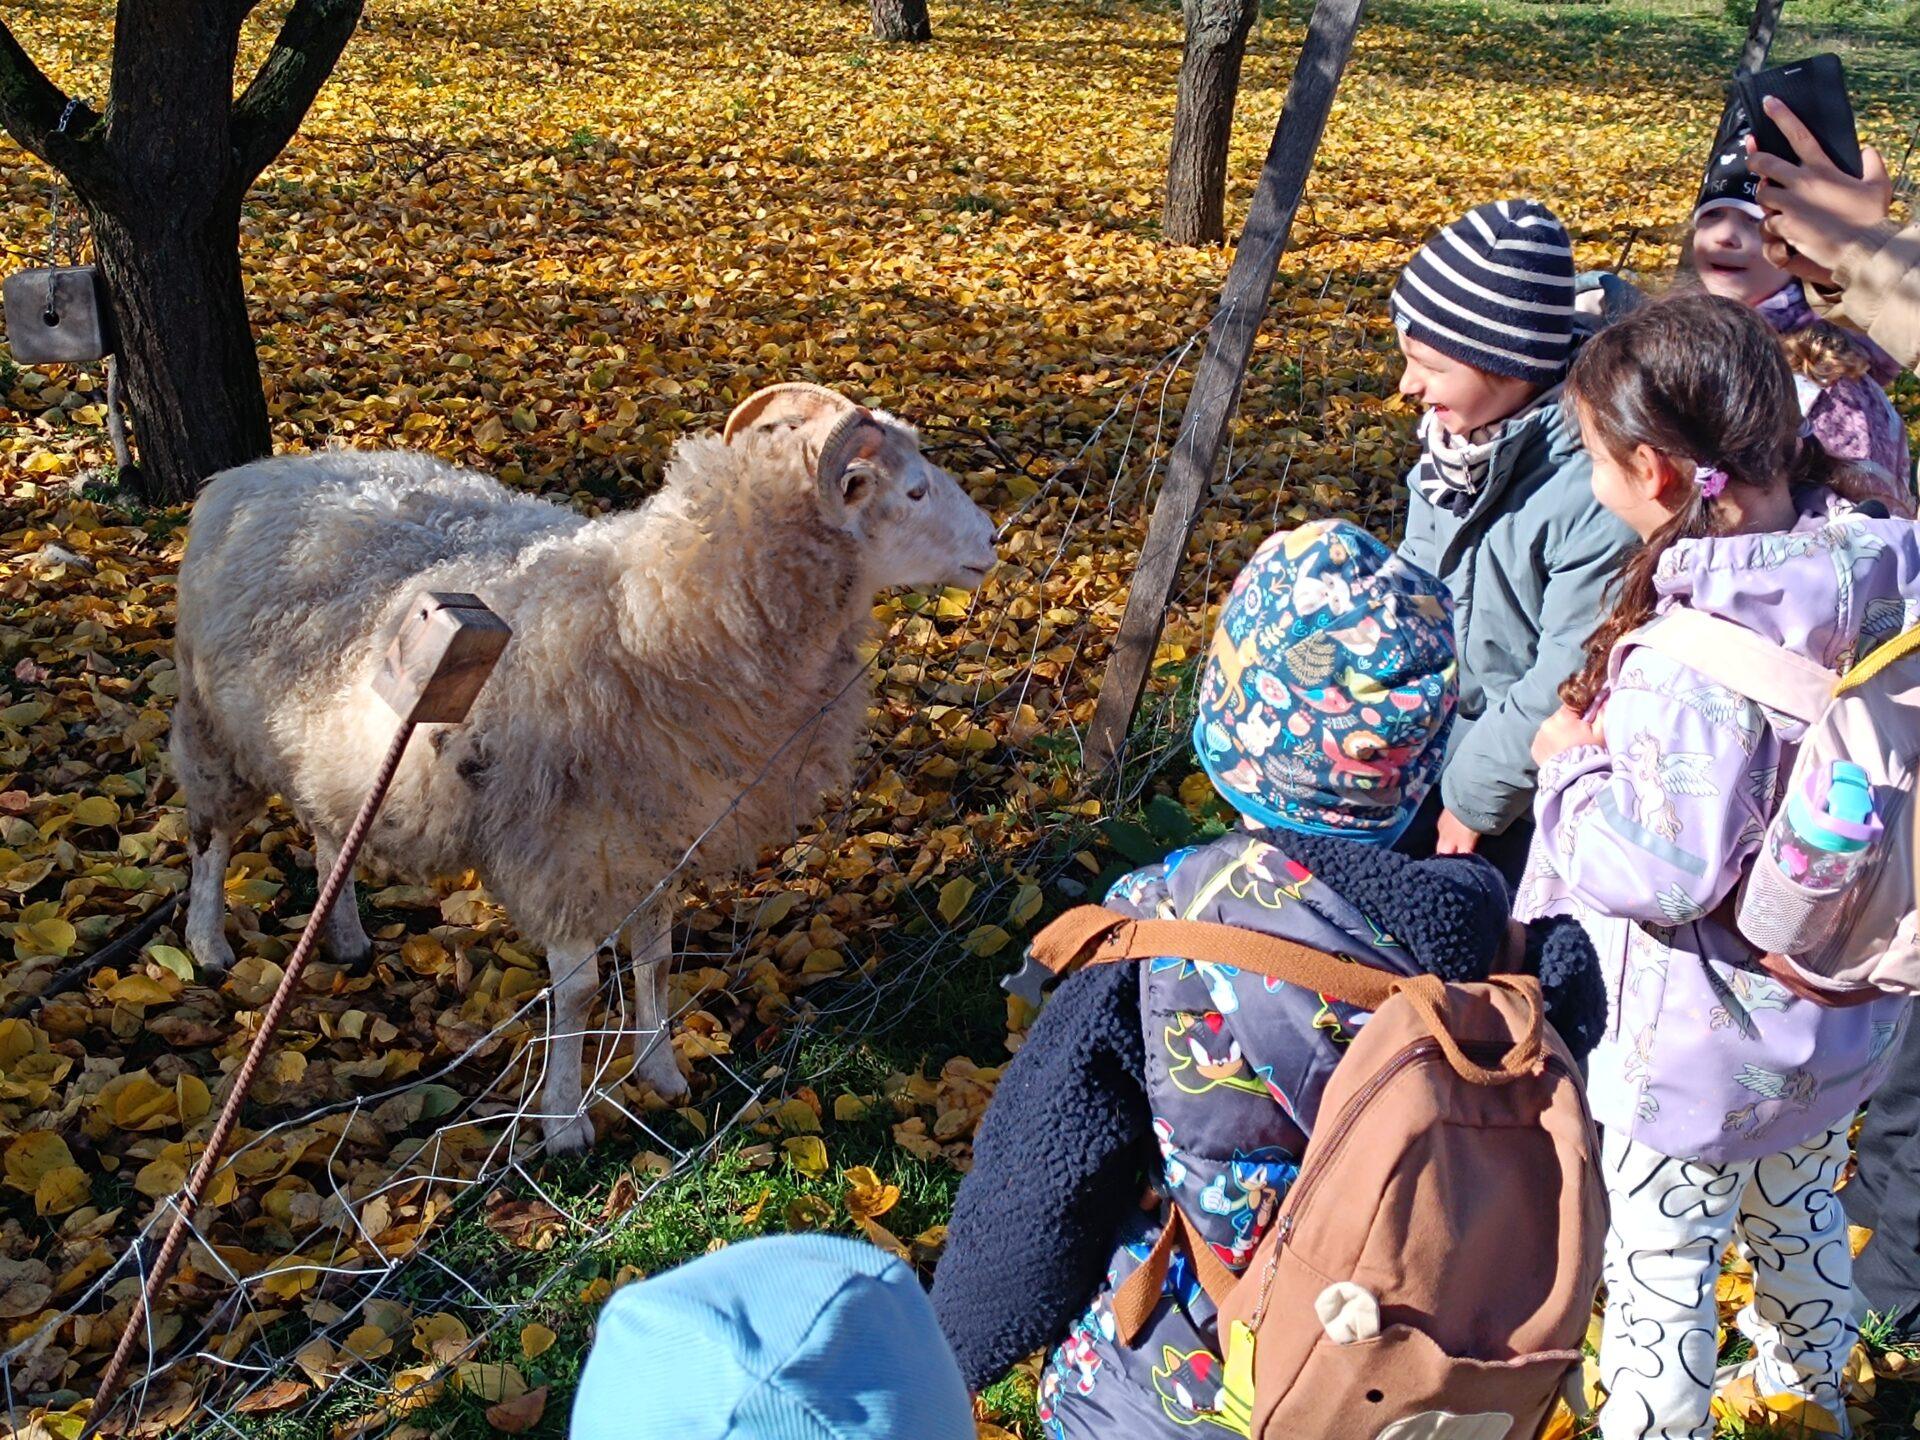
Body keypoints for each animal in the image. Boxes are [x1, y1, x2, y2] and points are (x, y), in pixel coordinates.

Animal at [170, 383, 998, 1153]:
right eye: (914, 491)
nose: (992, 538)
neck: (653, 611)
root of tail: (251, 474)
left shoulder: (658, 832)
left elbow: (656, 961)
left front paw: (660, 1072)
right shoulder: (566, 848)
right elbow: (577, 993)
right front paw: (565, 1122)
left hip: (313, 741)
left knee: (322, 826)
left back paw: (342, 935)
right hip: (211, 722)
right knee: (211, 837)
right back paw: (207, 946)